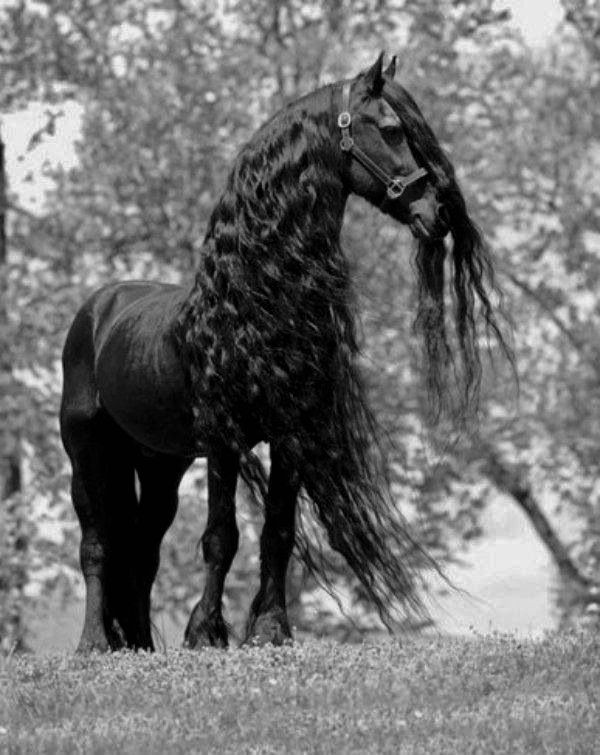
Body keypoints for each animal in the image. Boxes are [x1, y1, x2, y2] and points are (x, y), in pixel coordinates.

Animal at [60, 52, 509, 653]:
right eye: (392, 129)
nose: (437, 212)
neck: (256, 296)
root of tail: (98, 309)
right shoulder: (223, 439)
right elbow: (221, 535)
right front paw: (206, 633)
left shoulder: (292, 434)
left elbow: (277, 530)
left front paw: (271, 628)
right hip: (86, 451)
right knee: (96, 544)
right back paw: (94, 643)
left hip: (158, 465)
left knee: (142, 552)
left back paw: (140, 647)